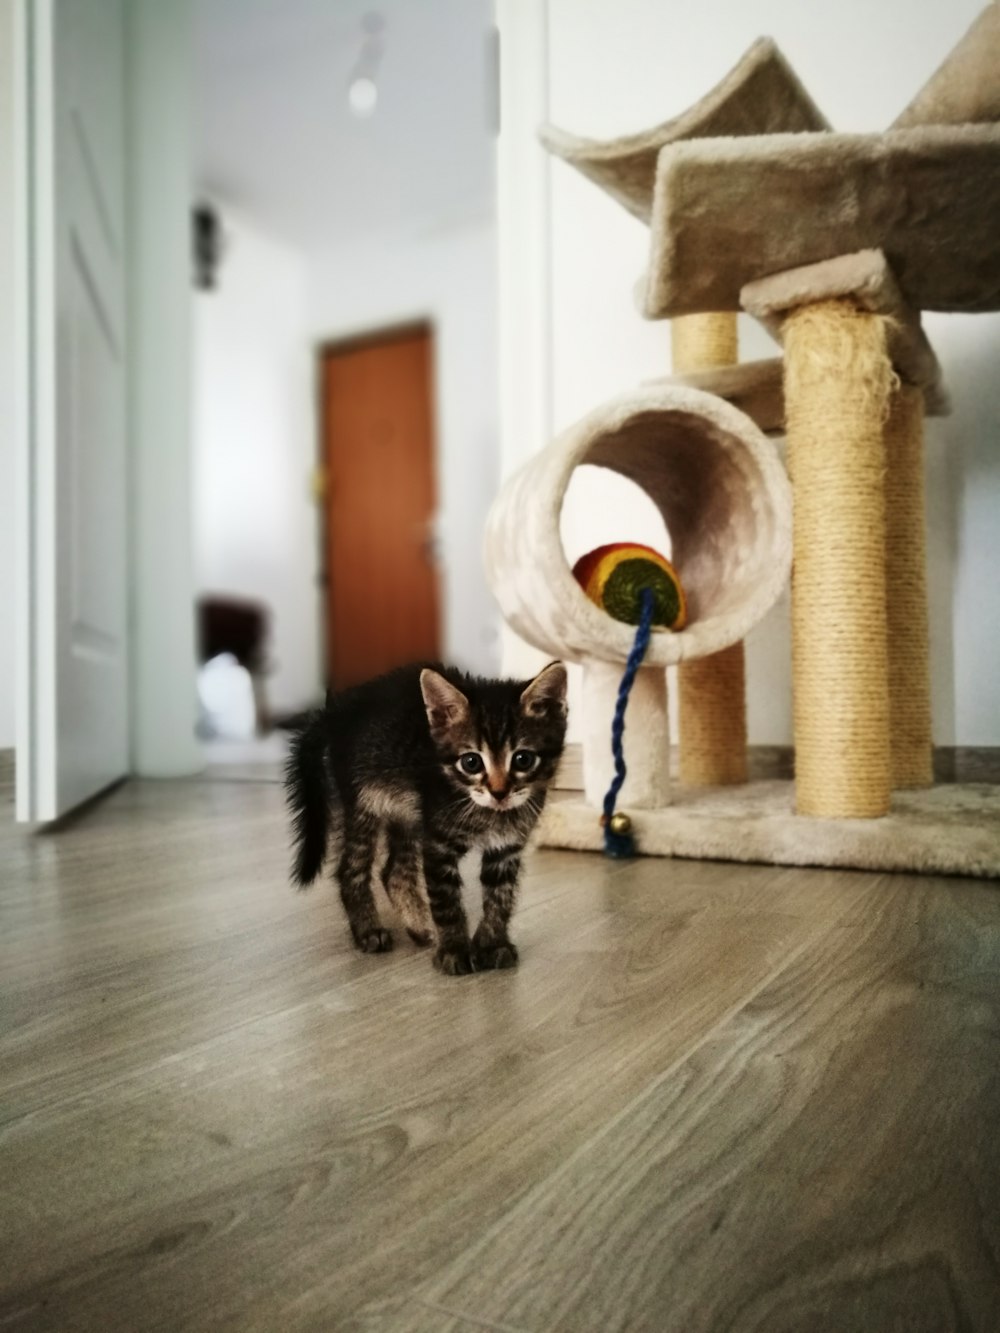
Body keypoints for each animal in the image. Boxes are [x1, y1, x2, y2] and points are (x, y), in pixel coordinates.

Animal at [285, 661, 568, 975]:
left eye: (523, 759)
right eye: (471, 762)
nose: (499, 792)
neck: (488, 813)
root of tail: (336, 711)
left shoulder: (506, 846)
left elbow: (500, 896)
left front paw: (492, 944)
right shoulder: (438, 843)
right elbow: (446, 901)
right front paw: (455, 950)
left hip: (407, 812)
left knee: (395, 871)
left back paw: (420, 926)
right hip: (361, 805)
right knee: (351, 869)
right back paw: (369, 931)